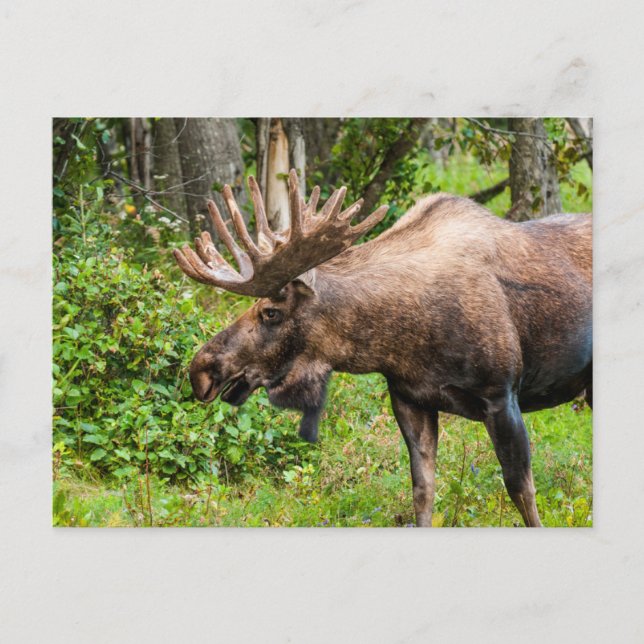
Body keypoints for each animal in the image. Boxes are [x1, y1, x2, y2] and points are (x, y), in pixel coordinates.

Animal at [174, 169, 592, 527]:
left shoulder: (501, 394)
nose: (201, 369)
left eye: (271, 312)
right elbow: (423, 491)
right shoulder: (409, 398)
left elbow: (521, 491)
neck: (398, 340)